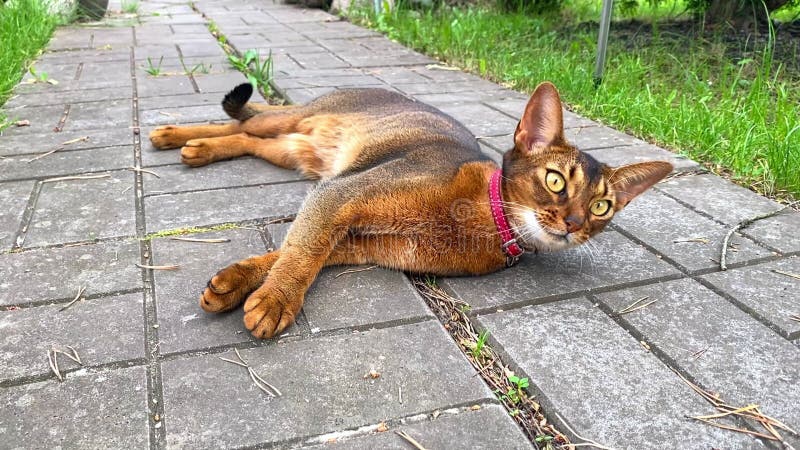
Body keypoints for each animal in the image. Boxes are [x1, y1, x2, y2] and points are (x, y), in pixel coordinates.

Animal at [148, 82, 668, 340]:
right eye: (556, 180)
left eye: (601, 206)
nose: (574, 223)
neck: (482, 218)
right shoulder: (341, 192)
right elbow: (303, 249)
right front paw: (277, 301)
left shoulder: (358, 239)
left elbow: (296, 251)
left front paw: (238, 281)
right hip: (294, 124)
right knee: (242, 121)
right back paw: (174, 134)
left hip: (295, 151)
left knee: (246, 137)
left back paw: (198, 149)